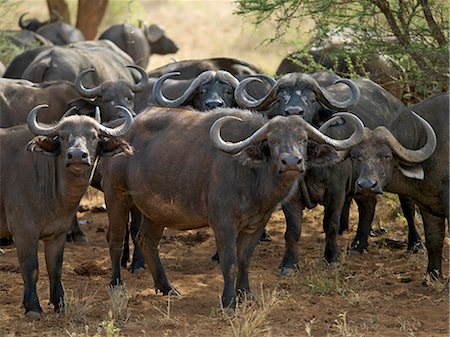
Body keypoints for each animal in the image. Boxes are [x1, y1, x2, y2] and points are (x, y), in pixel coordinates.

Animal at [0, 105, 134, 318]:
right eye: (62, 137)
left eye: (94, 136)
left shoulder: (57, 233)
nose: (77, 155)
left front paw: (60, 303)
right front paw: (33, 307)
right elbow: (32, 269)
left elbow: (55, 267)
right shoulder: (24, 233)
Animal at [101, 105, 366, 308]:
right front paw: (229, 300)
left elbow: (245, 259)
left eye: (302, 139)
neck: (252, 176)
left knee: (146, 240)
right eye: (272, 141)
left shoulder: (257, 224)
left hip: (155, 211)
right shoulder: (223, 224)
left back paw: (167, 288)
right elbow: (229, 261)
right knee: (115, 240)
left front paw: (245, 294)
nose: (291, 161)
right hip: (117, 196)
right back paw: (116, 284)